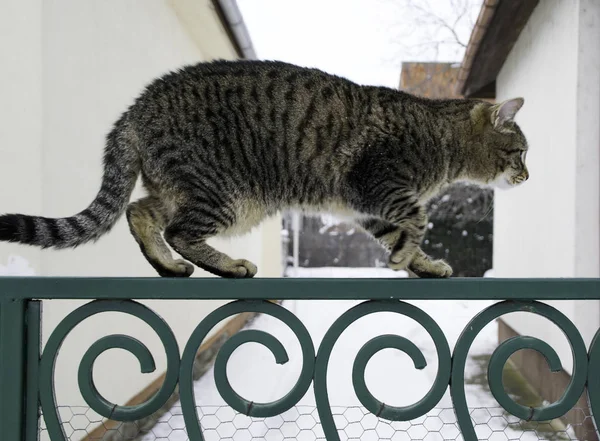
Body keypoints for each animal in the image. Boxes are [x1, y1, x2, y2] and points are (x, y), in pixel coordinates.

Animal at [0, 59, 528, 276]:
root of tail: (137, 108)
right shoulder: (375, 185)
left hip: (180, 189)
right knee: (177, 230)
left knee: (139, 213)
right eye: (521, 151)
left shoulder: (369, 208)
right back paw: (227, 266)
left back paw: (168, 267)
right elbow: (417, 220)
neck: (442, 140)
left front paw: (420, 263)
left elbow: (402, 231)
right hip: (224, 195)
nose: (527, 175)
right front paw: (405, 259)